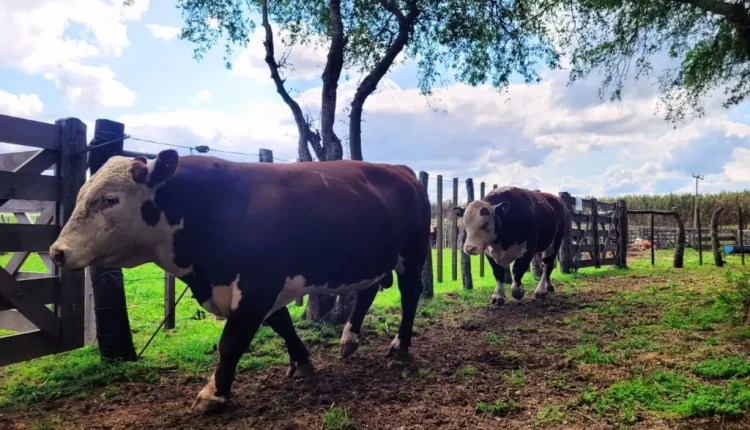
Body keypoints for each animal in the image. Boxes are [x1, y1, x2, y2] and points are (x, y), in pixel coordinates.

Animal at [50, 149, 432, 412]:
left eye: (109, 199)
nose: (57, 251)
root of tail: (401, 170)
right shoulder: (260, 288)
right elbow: (282, 324)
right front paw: (301, 362)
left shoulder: (259, 284)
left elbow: (232, 340)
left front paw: (213, 394)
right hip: (374, 258)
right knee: (367, 291)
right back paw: (349, 340)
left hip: (412, 253)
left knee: (410, 294)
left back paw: (400, 346)